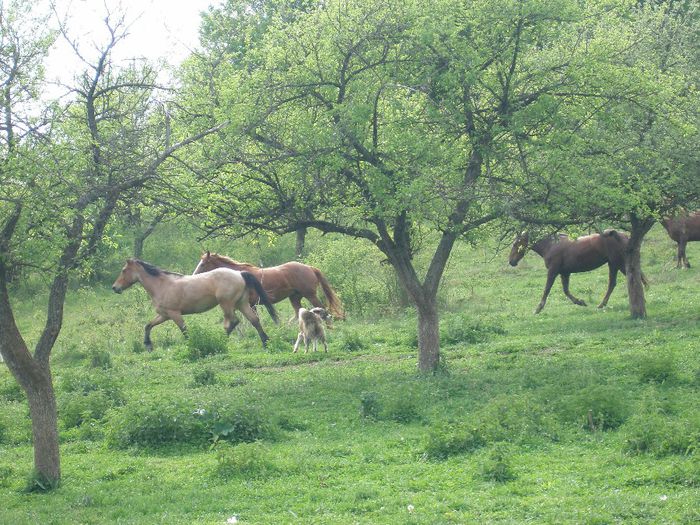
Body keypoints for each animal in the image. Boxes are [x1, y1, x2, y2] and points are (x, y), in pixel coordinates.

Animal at [113, 256, 278, 348]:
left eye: (123, 270)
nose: (115, 288)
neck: (162, 285)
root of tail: (239, 274)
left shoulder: (174, 314)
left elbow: (185, 331)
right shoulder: (164, 315)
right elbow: (148, 325)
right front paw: (148, 345)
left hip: (226, 304)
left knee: (233, 321)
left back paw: (221, 340)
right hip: (241, 303)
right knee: (254, 320)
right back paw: (265, 342)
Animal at [193, 251, 346, 320]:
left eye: (203, 264)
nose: (194, 275)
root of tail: (309, 267)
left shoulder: (251, 304)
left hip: (310, 295)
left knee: (322, 309)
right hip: (294, 298)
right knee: (298, 314)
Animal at [506, 228, 644, 312]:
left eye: (515, 244)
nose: (511, 261)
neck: (551, 245)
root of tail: (623, 235)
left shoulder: (553, 271)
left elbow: (547, 289)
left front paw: (538, 308)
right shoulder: (564, 273)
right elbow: (566, 291)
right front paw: (580, 302)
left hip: (617, 264)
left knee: (622, 282)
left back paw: (602, 305)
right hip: (614, 264)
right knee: (618, 282)